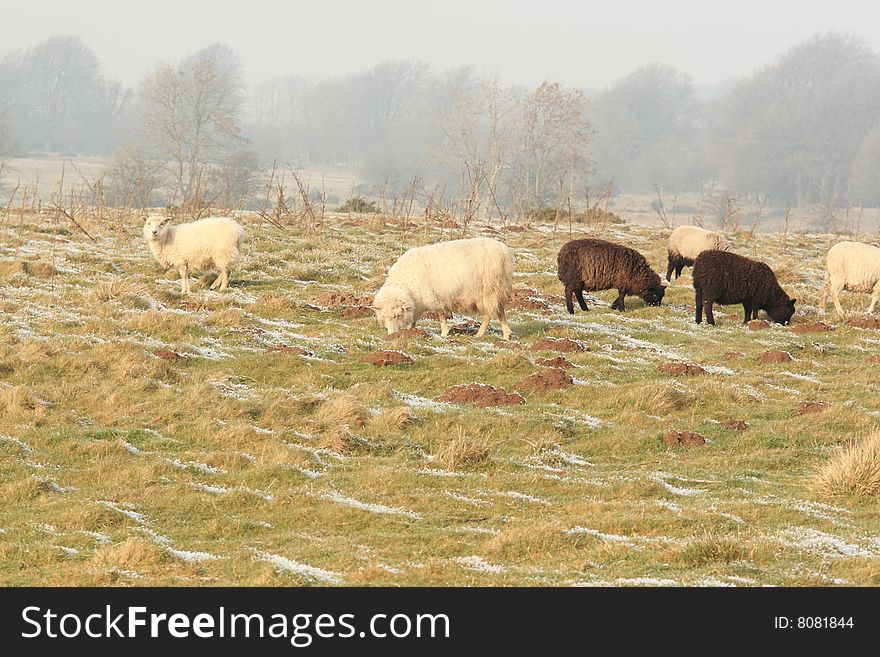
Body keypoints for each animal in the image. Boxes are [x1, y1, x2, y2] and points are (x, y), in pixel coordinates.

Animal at [372, 236, 516, 338]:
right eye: (384, 316)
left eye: (398, 315)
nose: (392, 334)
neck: (407, 282)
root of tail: (505, 251)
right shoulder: (418, 302)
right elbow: (414, 318)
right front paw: (411, 329)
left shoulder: (434, 296)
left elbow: (440, 315)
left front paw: (444, 332)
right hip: (499, 289)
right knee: (500, 311)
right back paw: (506, 334)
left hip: (489, 290)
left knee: (489, 314)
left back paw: (480, 334)